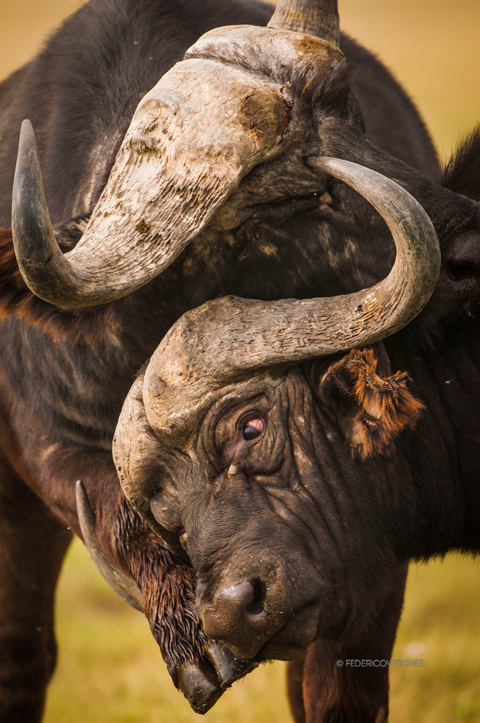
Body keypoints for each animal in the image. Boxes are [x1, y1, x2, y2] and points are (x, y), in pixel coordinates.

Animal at [1, 1, 478, 723]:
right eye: (278, 199)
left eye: (354, 120)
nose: (471, 248)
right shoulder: (48, 450)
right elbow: (115, 511)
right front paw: (192, 639)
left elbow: (337, 681)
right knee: (21, 658)